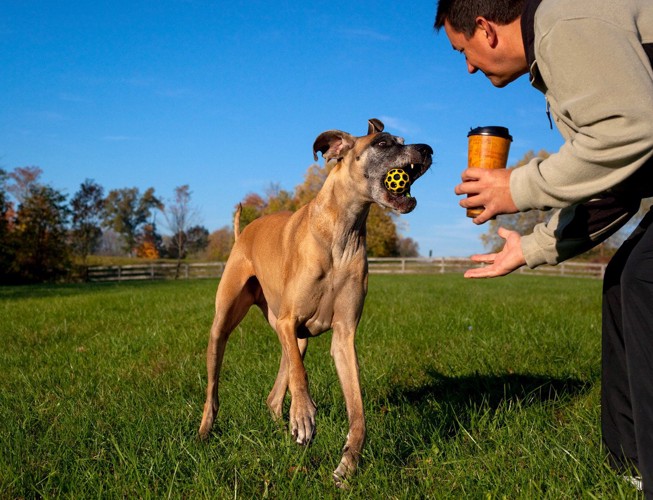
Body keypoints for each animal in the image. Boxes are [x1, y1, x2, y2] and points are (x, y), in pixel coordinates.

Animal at [199, 118, 432, 484]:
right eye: (382, 143)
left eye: (402, 139)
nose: (427, 149)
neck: (341, 232)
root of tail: (242, 235)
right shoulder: (288, 320)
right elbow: (301, 377)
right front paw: (305, 415)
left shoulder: (344, 336)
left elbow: (357, 410)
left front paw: (347, 465)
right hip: (223, 326)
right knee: (215, 388)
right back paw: (206, 431)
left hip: (297, 338)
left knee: (275, 392)